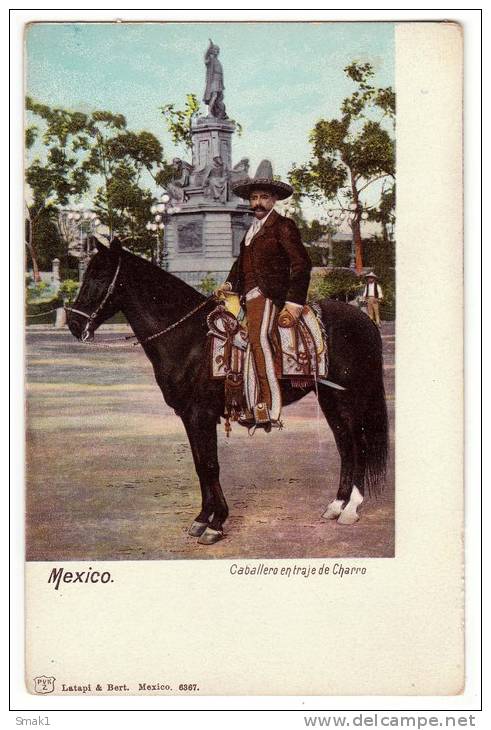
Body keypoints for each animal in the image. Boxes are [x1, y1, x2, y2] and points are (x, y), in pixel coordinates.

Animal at [66, 240, 388, 544]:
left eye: (99, 275)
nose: (73, 324)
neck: (190, 339)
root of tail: (365, 320)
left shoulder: (201, 414)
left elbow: (210, 465)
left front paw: (216, 523)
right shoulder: (188, 416)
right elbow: (200, 465)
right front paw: (202, 519)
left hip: (348, 398)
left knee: (358, 445)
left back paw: (350, 509)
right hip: (331, 400)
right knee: (345, 445)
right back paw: (336, 505)